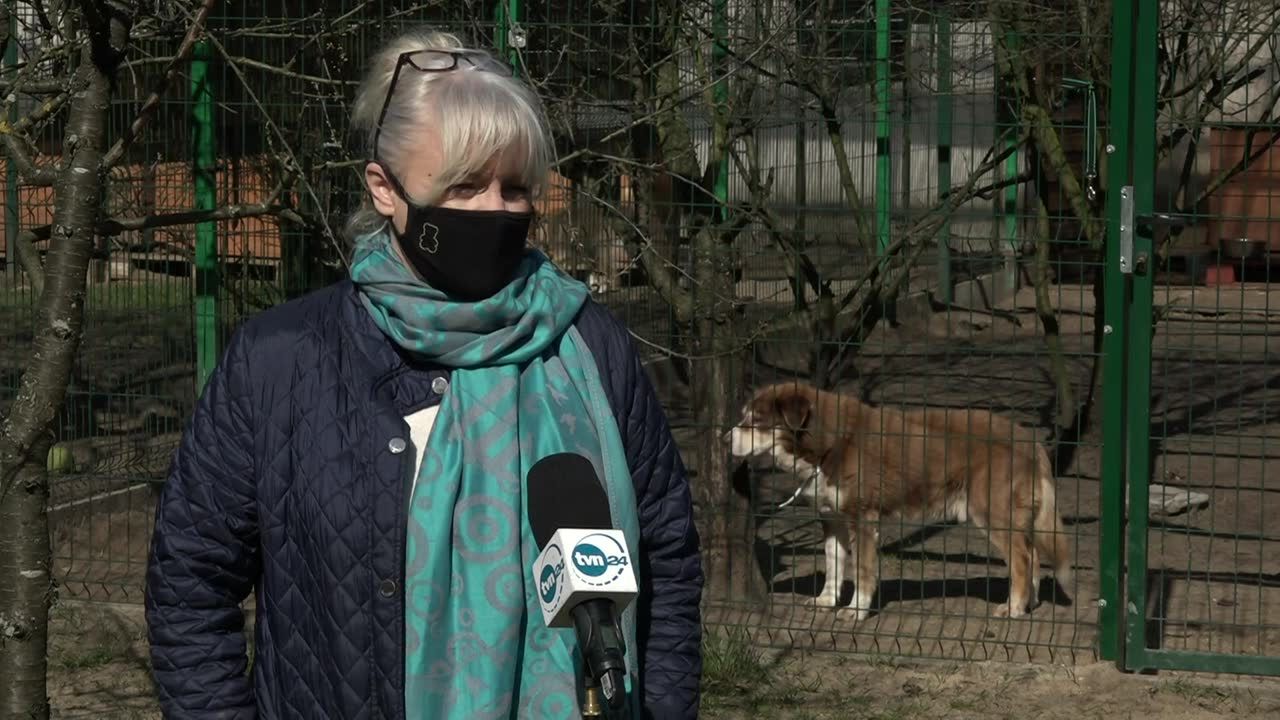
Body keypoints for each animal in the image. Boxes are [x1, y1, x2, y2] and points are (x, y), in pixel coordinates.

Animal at [727, 379, 1075, 620]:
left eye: (756, 420)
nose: (724, 436)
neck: (828, 441)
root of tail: (1029, 439)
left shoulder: (863, 518)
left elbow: (862, 570)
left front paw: (856, 611)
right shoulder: (831, 516)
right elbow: (833, 563)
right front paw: (826, 601)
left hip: (992, 513)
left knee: (1023, 559)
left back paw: (1013, 608)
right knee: (1033, 556)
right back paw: (1029, 603)